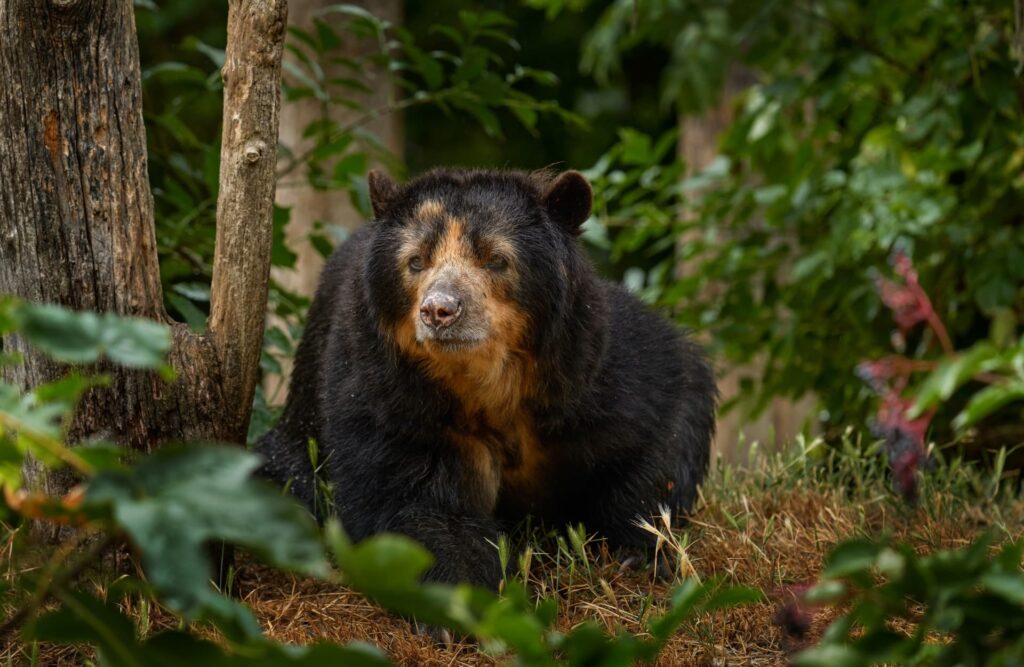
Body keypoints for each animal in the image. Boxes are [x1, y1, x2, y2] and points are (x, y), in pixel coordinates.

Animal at [260, 167, 716, 590]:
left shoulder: (589, 370)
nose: (439, 310)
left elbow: (661, 416)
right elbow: (409, 501)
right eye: (416, 261)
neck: (486, 379)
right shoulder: (386, 395)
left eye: (496, 259)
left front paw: (639, 551)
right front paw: (475, 588)